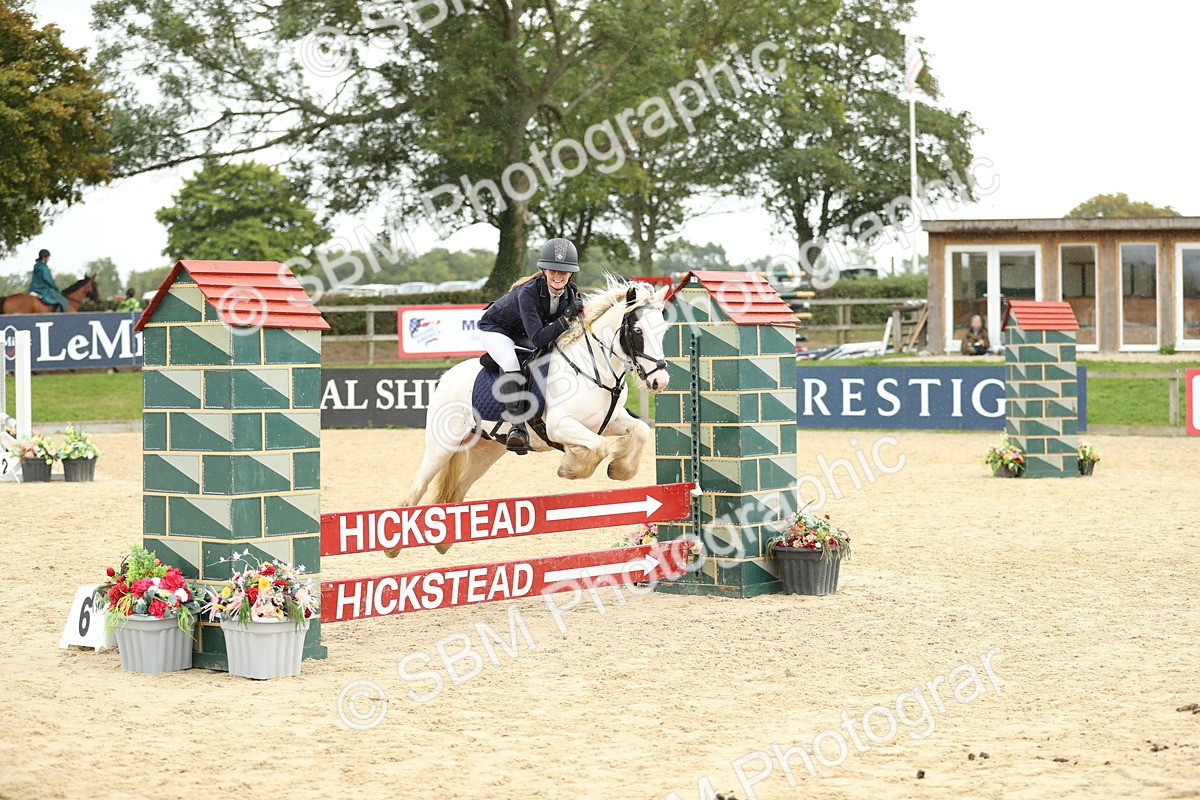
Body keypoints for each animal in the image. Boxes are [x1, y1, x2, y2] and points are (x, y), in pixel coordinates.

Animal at [386, 278, 672, 557]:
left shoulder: (610, 421)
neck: (594, 368)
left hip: (485, 450)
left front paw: (619, 469)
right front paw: (571, 468)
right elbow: (598, 446)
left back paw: (444, 543)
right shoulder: (559, 426)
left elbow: (640, 431)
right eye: (638, 331)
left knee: (459, 487)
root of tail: (447, 376)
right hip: (443, 445)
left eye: (662, 331)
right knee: (419, 484)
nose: (660, 381)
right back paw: (393, 546)